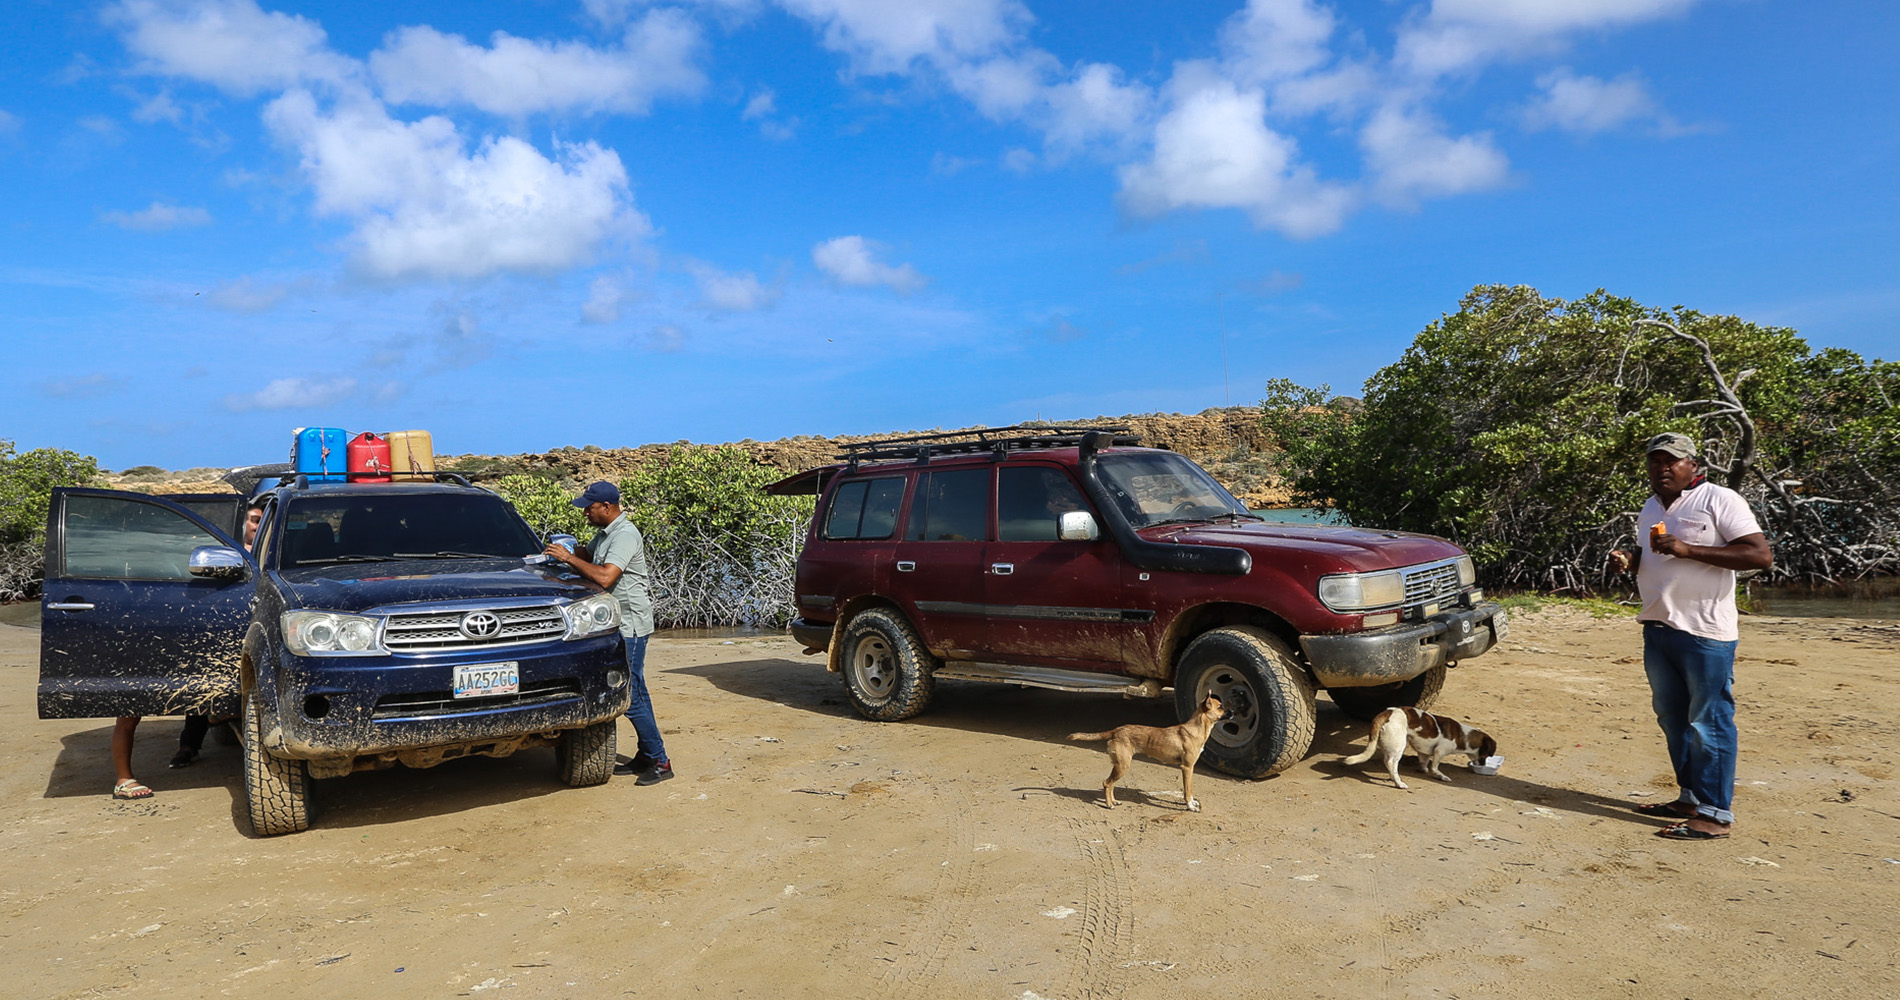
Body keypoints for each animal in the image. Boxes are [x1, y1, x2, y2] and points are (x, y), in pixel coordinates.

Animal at [1071, 699, 1231, 813]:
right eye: (1220, 707)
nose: (1234, 711)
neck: (1196, 729)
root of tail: (1115, 731)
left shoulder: (1190, 769)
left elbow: (1190, 790)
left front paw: (1192, 803)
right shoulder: (1187, 768)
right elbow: (1187, 790)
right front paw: (1190, 806)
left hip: (1119, 766)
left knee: (1110, 784)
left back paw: (1114, 801)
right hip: (1123, 766)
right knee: (1107, 783)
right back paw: (1109, 804)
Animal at [1337, 707, 1497, 790]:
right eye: (1486, 755)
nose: (1483, 764)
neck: (1463, 735)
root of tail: (1388, 712)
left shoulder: (1423, 752)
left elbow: (1424, 762)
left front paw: (1423, 769)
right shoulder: (1439, 751)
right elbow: (1435, 767)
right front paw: (1440, 776)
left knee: (1388, 763)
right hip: (1399, 745)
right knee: (1390, 763)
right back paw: (1399, 783)